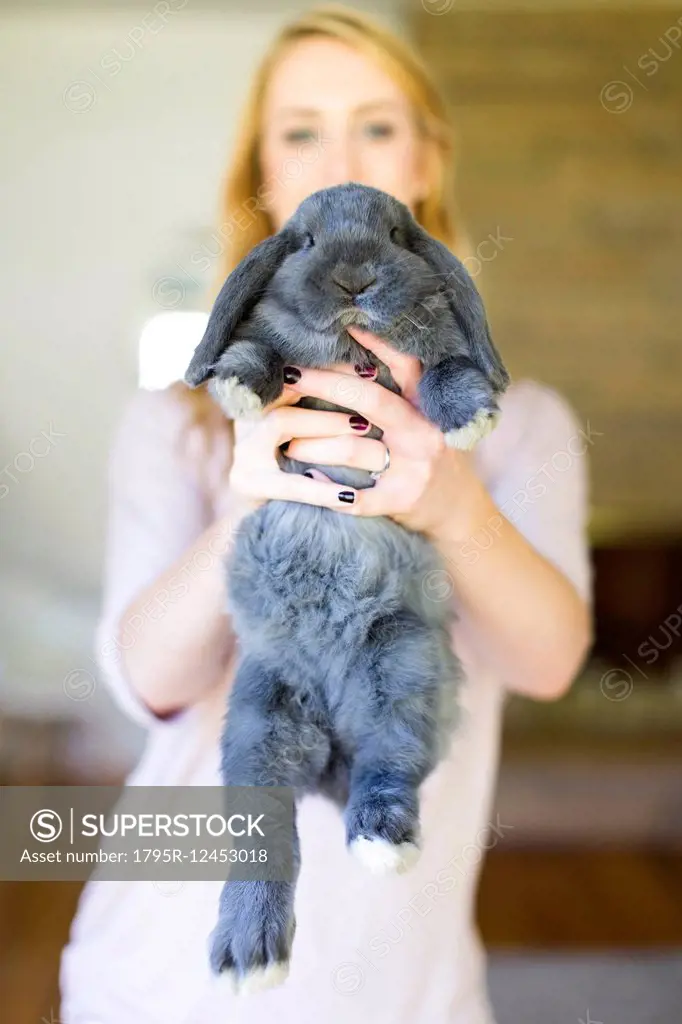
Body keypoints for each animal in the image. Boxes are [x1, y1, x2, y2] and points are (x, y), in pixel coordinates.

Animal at [183, 182, 507, 991]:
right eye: (302, 242)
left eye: (396, 235)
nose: (354, 279)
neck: (354, 344)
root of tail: (327, 730)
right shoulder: (277, 344)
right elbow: (260, 350)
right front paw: (238, 385)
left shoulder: (435, 352)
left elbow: (452, 367)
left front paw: (471, 420)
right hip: (260, 720)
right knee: (268, 842)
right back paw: (249, 958)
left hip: (402, 664)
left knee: (389, 769)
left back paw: (380, 845)